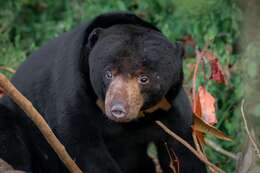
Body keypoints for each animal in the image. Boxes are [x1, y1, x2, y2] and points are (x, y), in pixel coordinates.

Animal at [0, 12, 207, 173]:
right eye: (108, 73)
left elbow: (183, 150)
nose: (118, 109)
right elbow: (82, 143)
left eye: (144, 78)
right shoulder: (73, 92)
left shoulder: (169, 105)